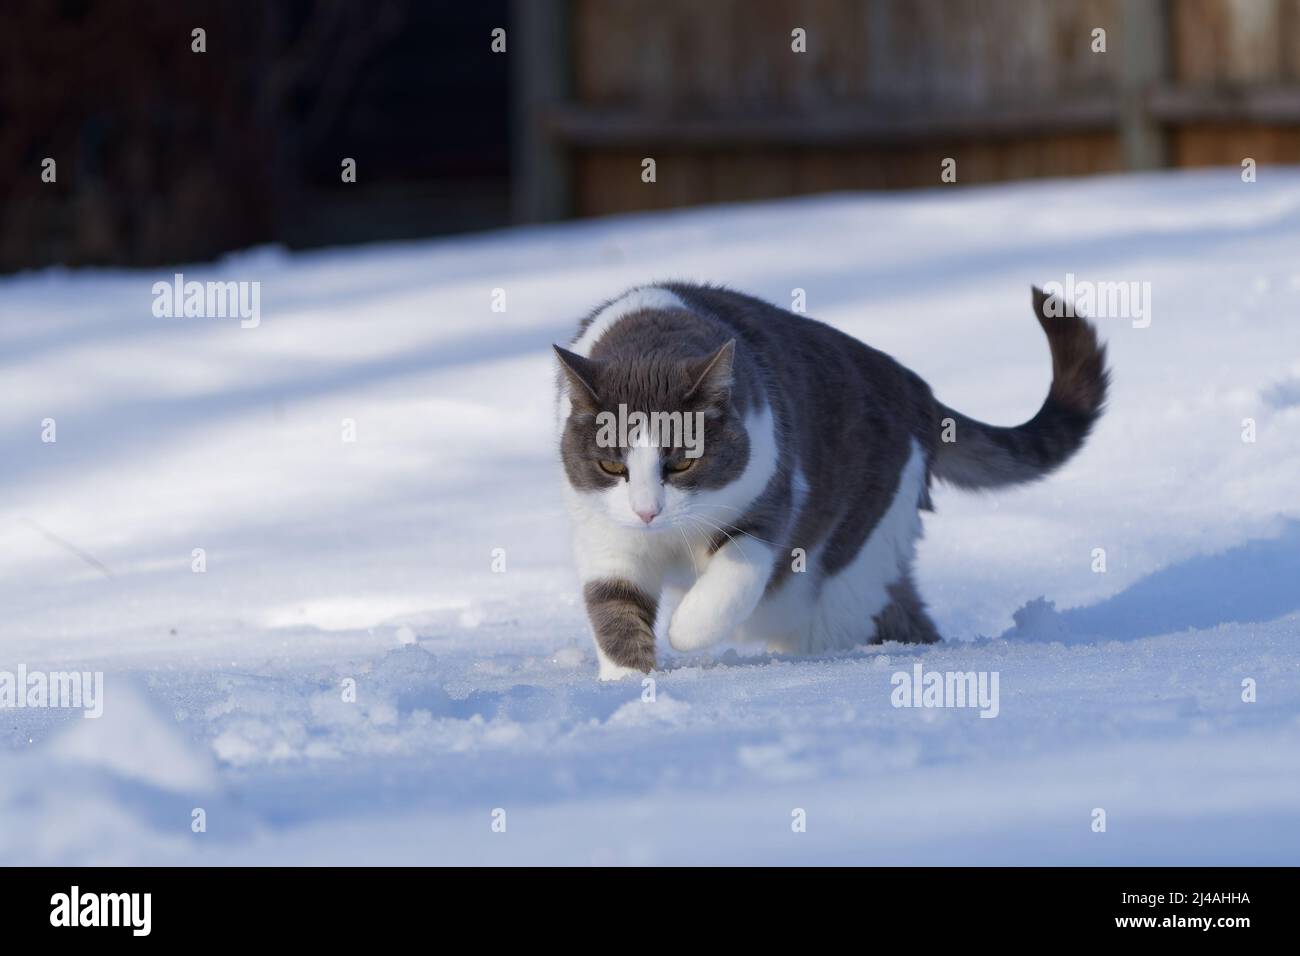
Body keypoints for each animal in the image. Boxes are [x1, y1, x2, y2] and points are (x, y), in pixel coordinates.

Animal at [553, 283, 1112, 681]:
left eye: (683, 463)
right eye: (612, 467)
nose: (647, 511)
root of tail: (916, 391)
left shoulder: (770, 495)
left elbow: (734, 575)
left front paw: (684, 630)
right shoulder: (602, 530)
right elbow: (614, 605)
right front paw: (630, 688)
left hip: (849, 551)